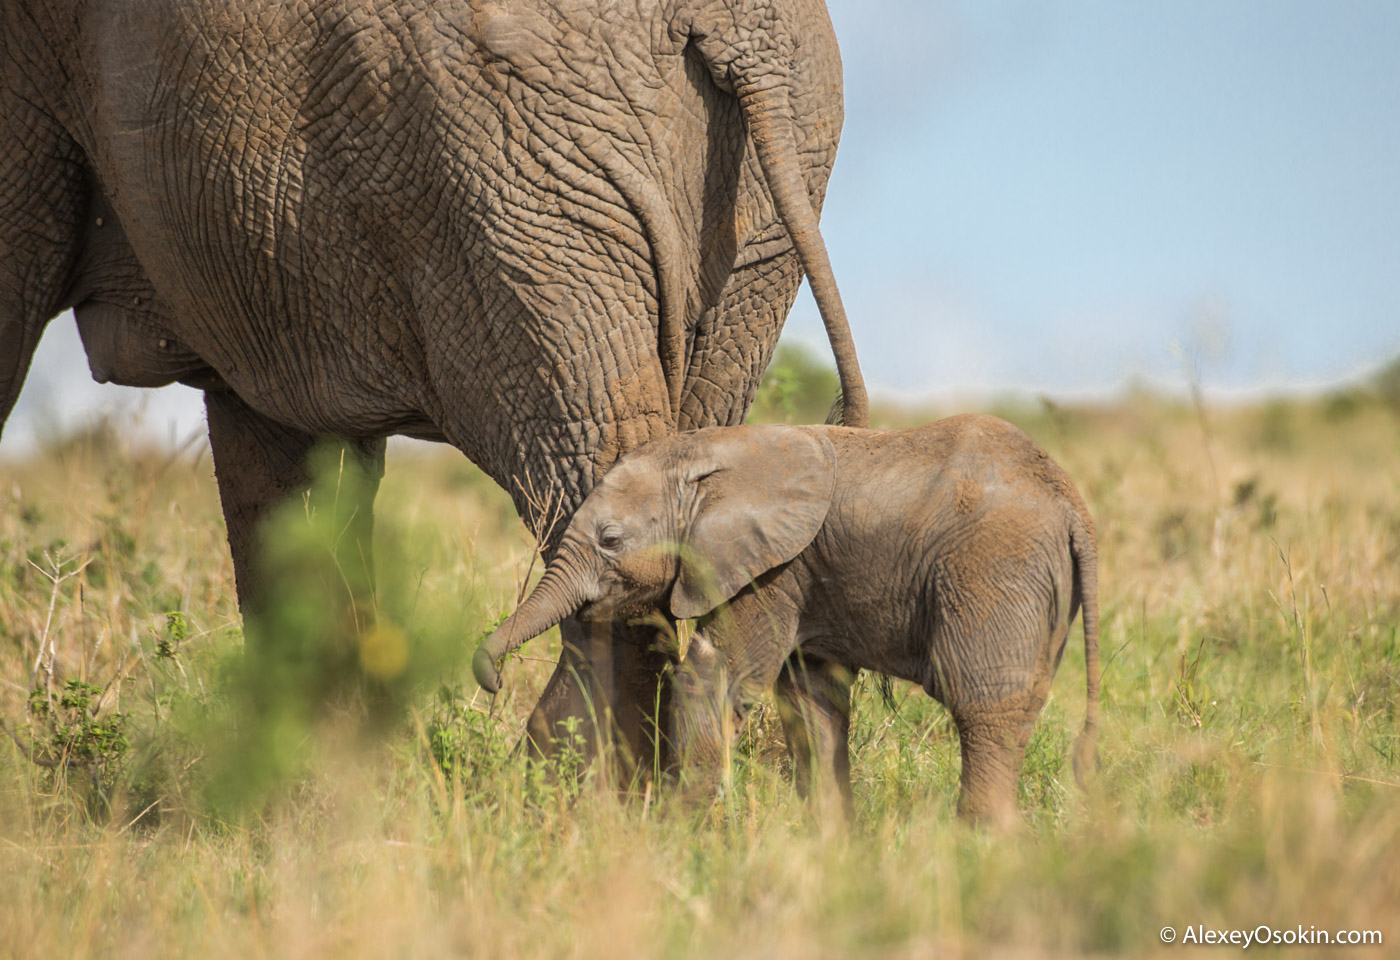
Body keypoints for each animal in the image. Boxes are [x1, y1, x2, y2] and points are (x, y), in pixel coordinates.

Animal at [2, 0, 862, 778]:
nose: (482, 678)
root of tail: (738, 27)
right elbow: (290, 468)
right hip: (733, 212)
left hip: (516, 189)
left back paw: (555, 796)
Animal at [476, 414, 1097, 828]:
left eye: (610, 540)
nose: (493, 679)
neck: (706, 452)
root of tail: (1073, 508)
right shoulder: (803, 576)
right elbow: (811, 701)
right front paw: (831, 843)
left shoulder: (772, 568)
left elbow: (712, 673)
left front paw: (679, 835)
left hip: (994, 568)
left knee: (983, 707)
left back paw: (979, 840)